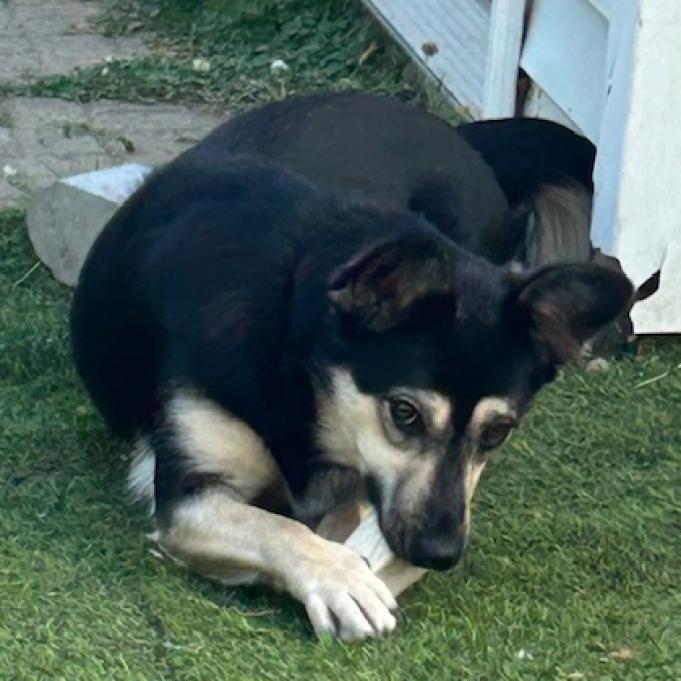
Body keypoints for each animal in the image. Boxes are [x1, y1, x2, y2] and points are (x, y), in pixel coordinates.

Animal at [70, 94, 632, 636]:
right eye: (404, 413)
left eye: (498, 432)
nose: (440, 553)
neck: (292, 345)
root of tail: (453, 132)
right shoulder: (188, 495)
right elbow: (278, 527)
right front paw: (339, 576)